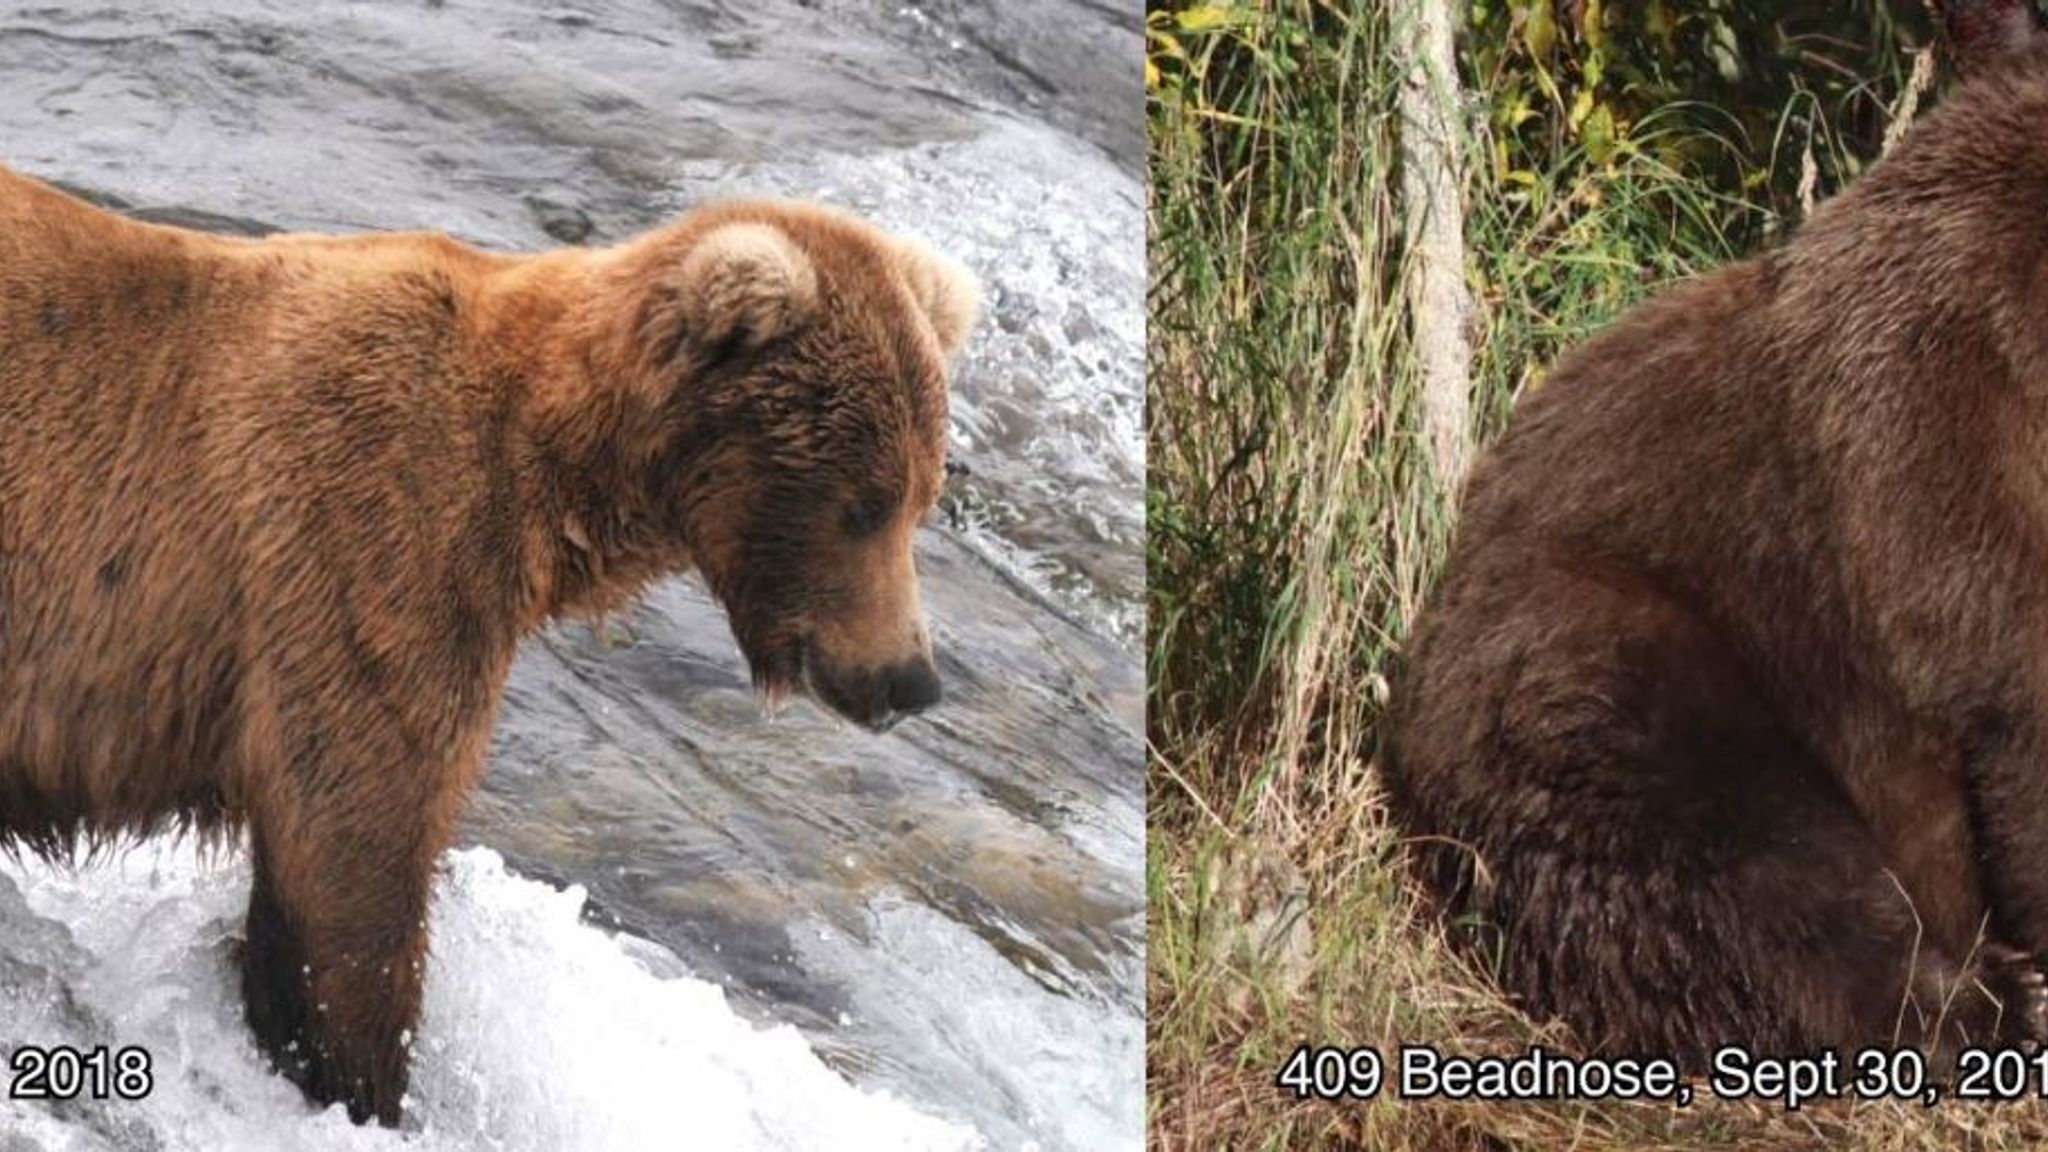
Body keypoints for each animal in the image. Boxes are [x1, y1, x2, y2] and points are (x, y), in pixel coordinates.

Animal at [0, 164, 979, 1124]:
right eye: (863, 505)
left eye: (922, 499)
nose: (909, 679)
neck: (548, 479)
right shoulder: (363, 556)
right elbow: (353, 863)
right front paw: (360, 1078)